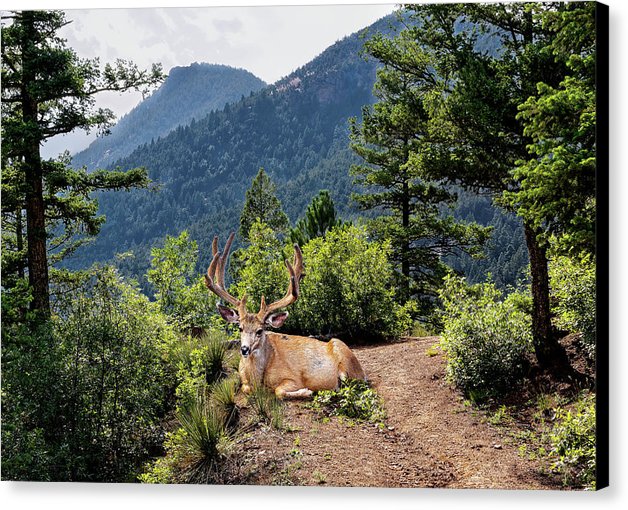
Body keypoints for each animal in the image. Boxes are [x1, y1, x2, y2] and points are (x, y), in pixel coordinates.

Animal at [204, 233, 366, 400]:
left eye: (260, 330)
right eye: (240, 328)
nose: (244, 349)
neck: (257, 378)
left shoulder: (292, 378)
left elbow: (279, 391)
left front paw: (306, 391)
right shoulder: (244, 380)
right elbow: (246, 388)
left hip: (344, 357)